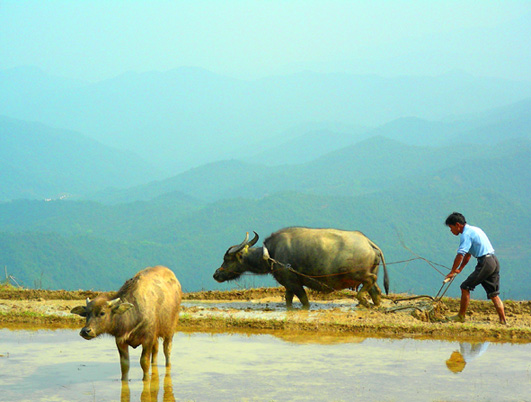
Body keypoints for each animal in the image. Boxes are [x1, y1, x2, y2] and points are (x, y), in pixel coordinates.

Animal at [213, 228, 390, 310]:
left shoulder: (294, 282)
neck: (271, 254)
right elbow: (288, 299)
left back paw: (362, 300)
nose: (216, 274)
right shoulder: (288, 284)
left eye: (227, 259)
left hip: (358, 274)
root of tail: (368, 243)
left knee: (371, 281)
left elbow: (304, 300)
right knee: (376, 290)